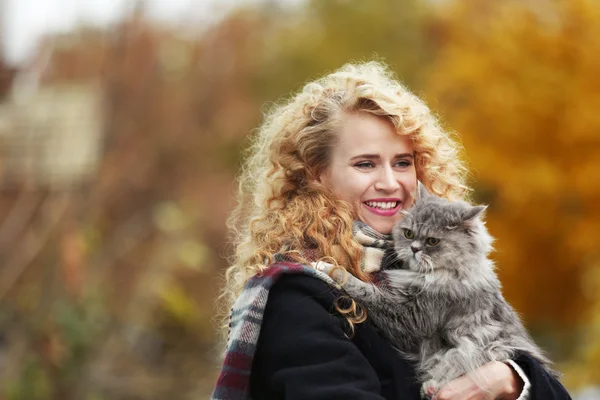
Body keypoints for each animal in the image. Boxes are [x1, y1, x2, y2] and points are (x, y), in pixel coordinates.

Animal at [316, 184, 556, 396]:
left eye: (432, 241)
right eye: (409, 234)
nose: (414, 249)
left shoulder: (409, 319)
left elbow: (361, 287)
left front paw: (326, 268)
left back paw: (431, 386)